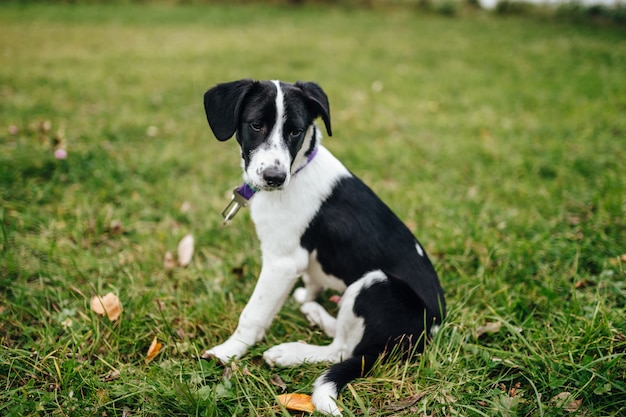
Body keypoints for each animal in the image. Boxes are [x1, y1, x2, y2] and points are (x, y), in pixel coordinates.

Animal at [201, 79, 444, 414]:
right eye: (256, 125)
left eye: (295, 132)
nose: (274, 177)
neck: (297, 171)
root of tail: (430, 333)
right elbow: (310, 280)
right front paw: (308, 296)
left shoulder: (282, 262)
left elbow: (253, 313)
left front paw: (228, 351)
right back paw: (314, 312)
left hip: (375, 285)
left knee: (343, 350)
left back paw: (289, 352)